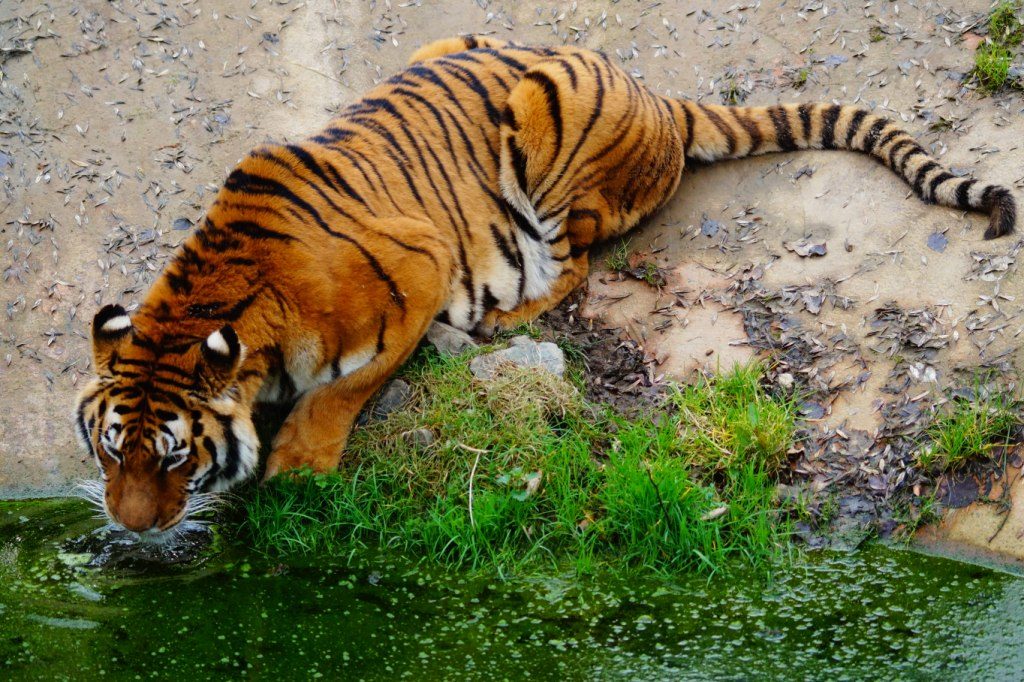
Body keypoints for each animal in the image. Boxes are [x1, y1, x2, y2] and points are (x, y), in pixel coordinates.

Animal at [74, 35, 1016, 535]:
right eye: (111, 450)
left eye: (174, 454)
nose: (129, 526)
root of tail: (658, 96)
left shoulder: (417, 273)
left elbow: (347, 387)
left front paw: (302, 464)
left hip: (544, 122)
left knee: (576, 266)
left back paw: (503, 316)